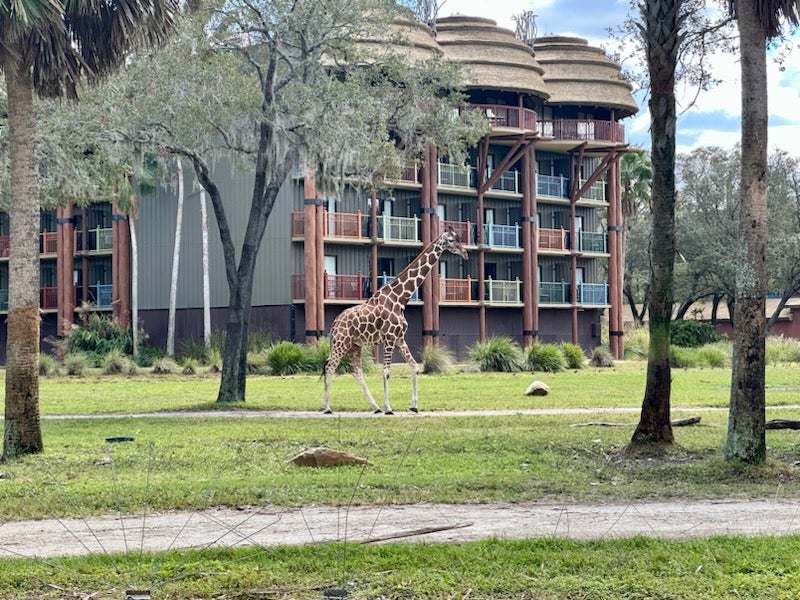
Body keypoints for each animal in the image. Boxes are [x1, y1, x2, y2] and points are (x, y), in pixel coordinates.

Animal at [320, 227, 468, 414]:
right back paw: (327, 407)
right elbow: (386, 372)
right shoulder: (389, 338)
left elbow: (415, 366)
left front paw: (414, 406)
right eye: (450, 240)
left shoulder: (400, 338)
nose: (465, 253)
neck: (400, 298)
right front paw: (389, 407)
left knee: (356, 371)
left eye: (458, 238)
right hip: (341, 343)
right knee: (330, 367)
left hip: (354, 345)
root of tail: (334, 323)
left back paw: (375, 407)